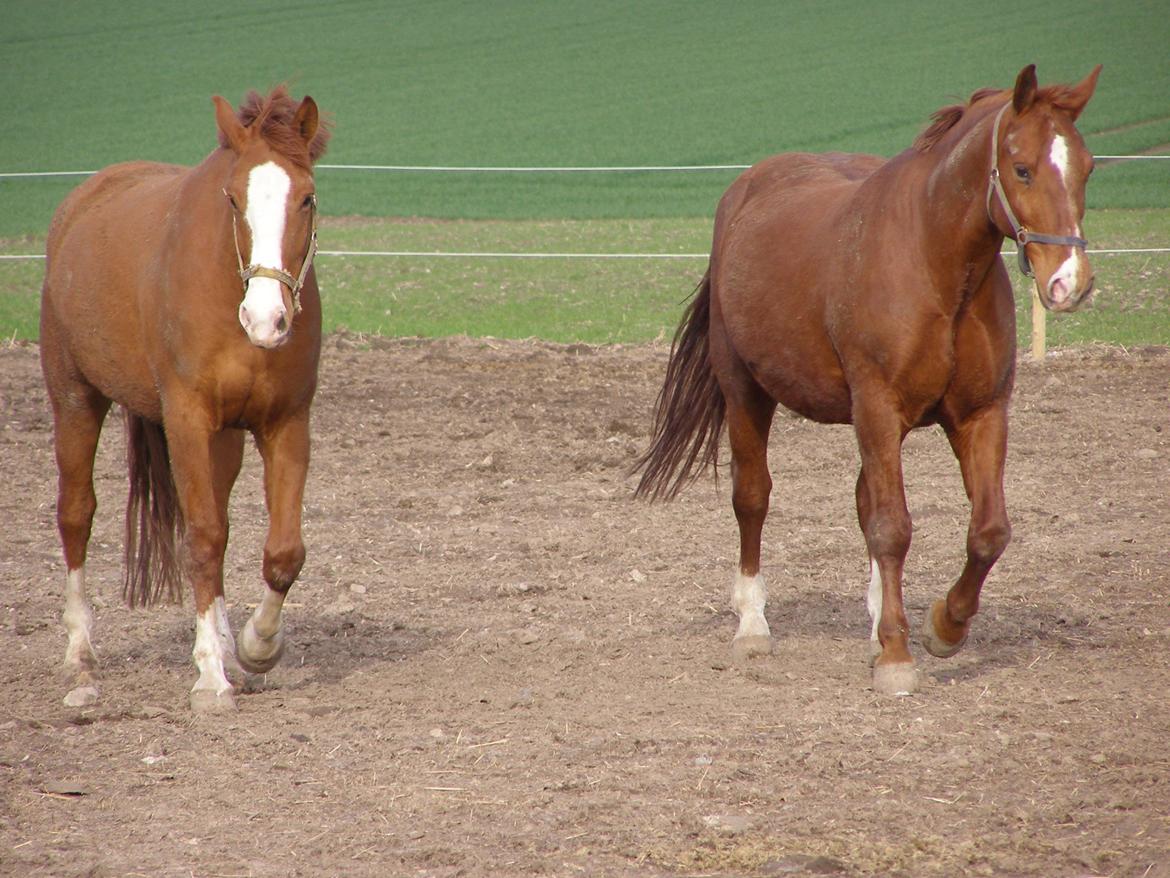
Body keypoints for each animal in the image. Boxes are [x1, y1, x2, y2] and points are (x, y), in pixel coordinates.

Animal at [42, 86, 329, 711]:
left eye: (307, 198)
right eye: (233, 197)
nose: (267, 319)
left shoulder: (285, 422)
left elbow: (283, 552)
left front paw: (255, 647)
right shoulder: (188, 421)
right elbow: (201, 538)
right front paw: (211, 677)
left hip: (226, 438)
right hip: (74, 398)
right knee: (77, 514)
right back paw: (80, 653)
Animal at [636, 63, 1099, 693]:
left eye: (1087, 167)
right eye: (1023, 167)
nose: (1070, 282)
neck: (935, 265)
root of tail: (743, 193)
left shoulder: (980, 414)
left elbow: (987, 532)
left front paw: (940, 628)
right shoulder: (877, 407)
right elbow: (892, 528)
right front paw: (899, 658)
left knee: (864, 503)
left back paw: (879, 623)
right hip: (746, 393)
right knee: (752, 497)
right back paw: (753, 625)